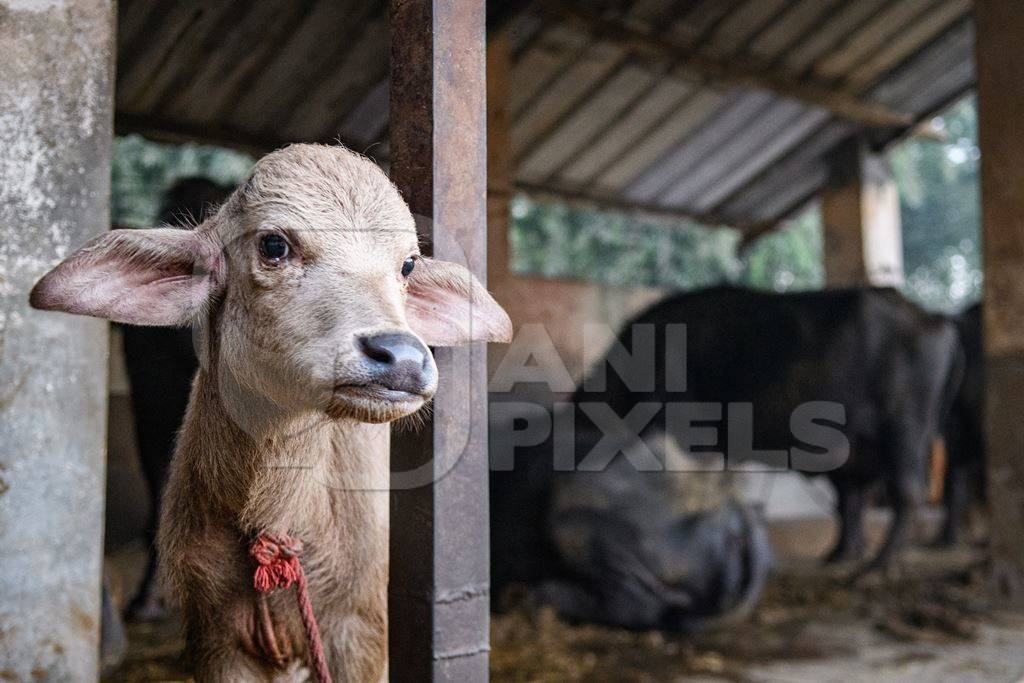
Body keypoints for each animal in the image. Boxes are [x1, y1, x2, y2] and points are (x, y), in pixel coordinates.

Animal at [491, 286, 962, 626]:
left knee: (907, 494)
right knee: (857, 497)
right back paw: (842, 555)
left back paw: (875, 569)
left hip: (904, 428)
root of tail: (933, 320)